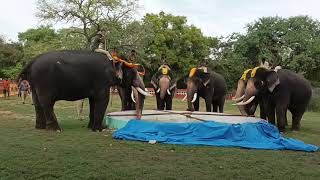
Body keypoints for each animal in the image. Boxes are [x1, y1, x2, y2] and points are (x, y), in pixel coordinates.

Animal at [18, 50, 151, 131]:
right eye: (132, 72)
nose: (137, 119)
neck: (112, 58)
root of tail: (31, 63)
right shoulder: (101, 80)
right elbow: (102, 100)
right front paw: (99, 129)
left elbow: (93, 101)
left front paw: (91, 128)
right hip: (44, 82)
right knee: (46, 103)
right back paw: (56, 130)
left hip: (34, 83)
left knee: (37, 103)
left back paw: (40, 128)